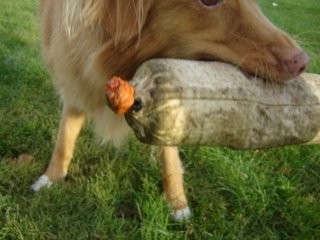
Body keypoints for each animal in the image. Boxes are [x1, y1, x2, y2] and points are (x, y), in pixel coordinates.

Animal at [31, 0, 308, 221]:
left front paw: (177, 202)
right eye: (209, 0)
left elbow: (169, 155)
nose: (303, 62)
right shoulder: (74, 79)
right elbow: (65, 139)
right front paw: (51, 177)